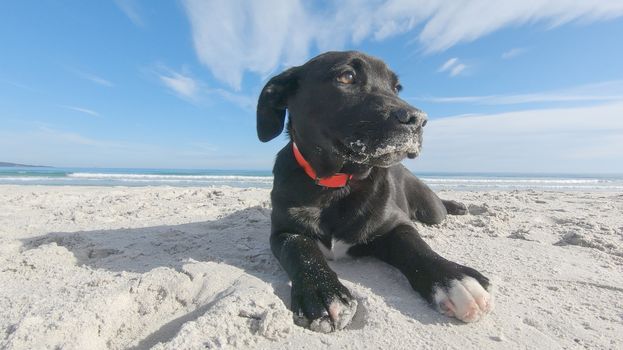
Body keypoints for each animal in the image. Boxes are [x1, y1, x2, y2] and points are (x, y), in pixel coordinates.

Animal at [256, 50, 494, 332]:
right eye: (347, 76)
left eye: (396, 87)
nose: (419, 119)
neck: (337, 184)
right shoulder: (283, 232)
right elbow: (301, 249)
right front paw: (324, 292)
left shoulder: (395, 224)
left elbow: (416, 246)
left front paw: (454, 280)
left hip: (432, 210)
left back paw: (457, 205)